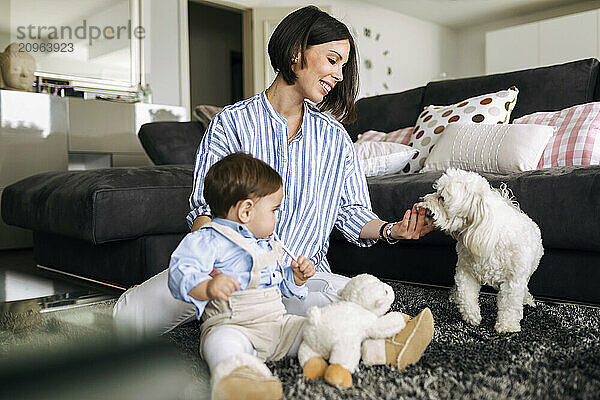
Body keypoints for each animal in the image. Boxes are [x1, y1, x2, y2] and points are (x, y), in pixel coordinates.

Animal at [418, 167, 544, 332]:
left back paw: (527, 300)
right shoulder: (465, 272)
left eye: (442, 198)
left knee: (524, 288)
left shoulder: (513, 281)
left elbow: (510, 305)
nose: (423, 200)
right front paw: (472, 316)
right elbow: (466, 296)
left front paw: (507, 326)